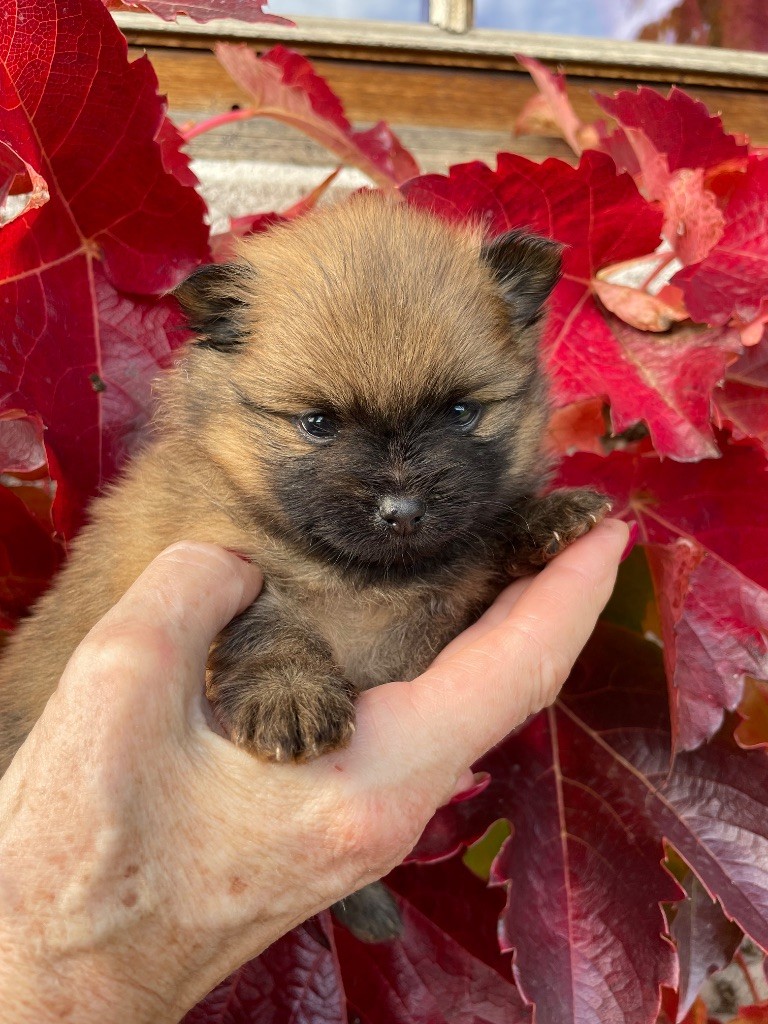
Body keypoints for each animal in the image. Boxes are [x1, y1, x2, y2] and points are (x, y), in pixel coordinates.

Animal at [1, 193, 614, 942]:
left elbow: (484, 531)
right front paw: (290, 696)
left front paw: (548, 514)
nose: (402, 510)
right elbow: (272, 624)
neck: (358, 576)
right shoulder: (222, 554)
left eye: (461, 412)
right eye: (319, 423)